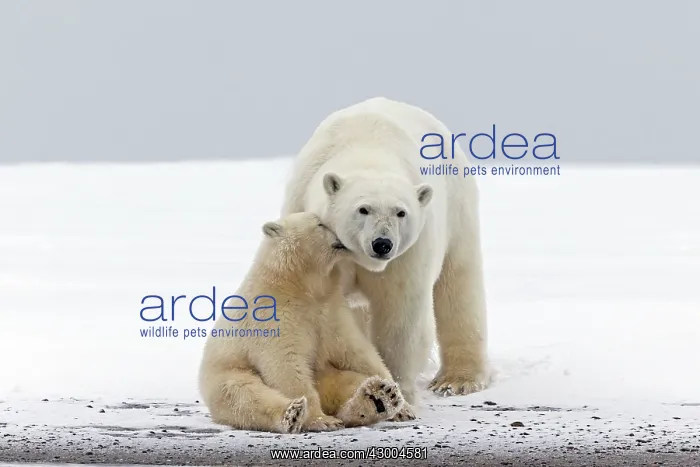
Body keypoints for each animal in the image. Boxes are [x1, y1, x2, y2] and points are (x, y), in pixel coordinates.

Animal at [198, 212, 407, 434]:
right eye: (320, 223)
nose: (343, 237)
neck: (297, 284)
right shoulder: (273, 316)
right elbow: (287, 364)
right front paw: (319, 420)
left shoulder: (331, 310)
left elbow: (358, 351)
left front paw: (400, 401)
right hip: (228, 374)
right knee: (243, 395)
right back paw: (293, 414)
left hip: (325, 374)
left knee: (349, 381)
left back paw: (379, 397)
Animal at [280, 97, 490, 407]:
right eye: (362, 209)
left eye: (400, 212)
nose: (382, 244)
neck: (368, 151)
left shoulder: (406, 256)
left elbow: (398, 313)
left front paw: (396, 391)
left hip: (458, 207)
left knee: (459, 285)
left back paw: (457, 380)